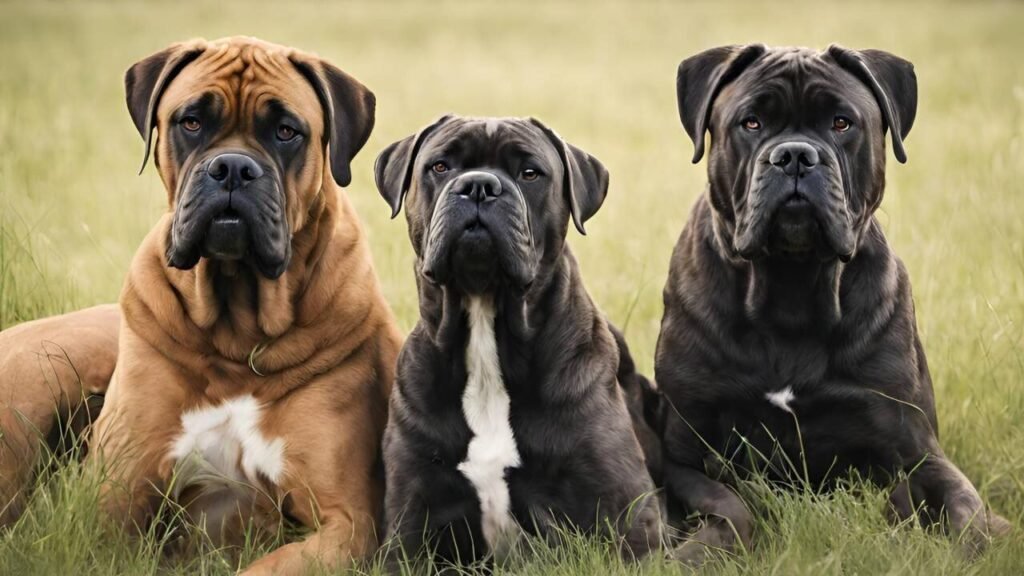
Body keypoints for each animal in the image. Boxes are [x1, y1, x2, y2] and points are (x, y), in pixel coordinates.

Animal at [81, 38, 401, 569]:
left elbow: (268, 566)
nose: (232, 167)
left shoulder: (346, 522)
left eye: (287, 131)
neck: (238, 328)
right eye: (191, 122)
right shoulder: (111, 496)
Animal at [655, 44, 1007, 561]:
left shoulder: (916, 448)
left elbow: (964, 511)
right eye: (751, 122)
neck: (793, 287)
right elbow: (730, 506)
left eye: (842, 123)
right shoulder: (684, 453)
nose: (795, 155)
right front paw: (696, 551)